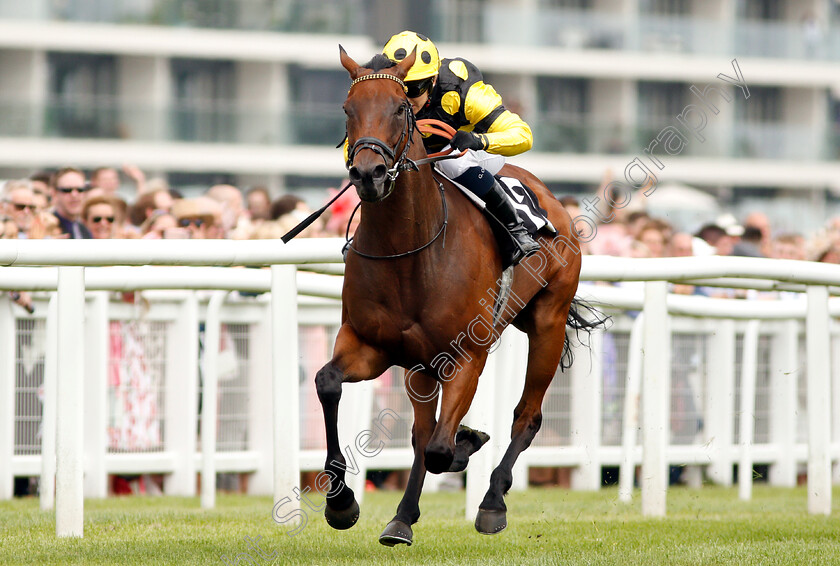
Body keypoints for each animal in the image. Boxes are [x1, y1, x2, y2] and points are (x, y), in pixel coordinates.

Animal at [316, 46, 592, 548]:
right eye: (348, 109)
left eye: (399, 108)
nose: (369, 173)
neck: (409, 253)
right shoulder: (370, 346)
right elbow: (328, 384)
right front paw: (341, 503)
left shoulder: (466, 355)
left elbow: (443, 449)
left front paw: (467, 445)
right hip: (422, 366)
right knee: (422, 432)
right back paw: (402, 518)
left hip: (548, 321)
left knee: (526, 416)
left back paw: (492, 501)